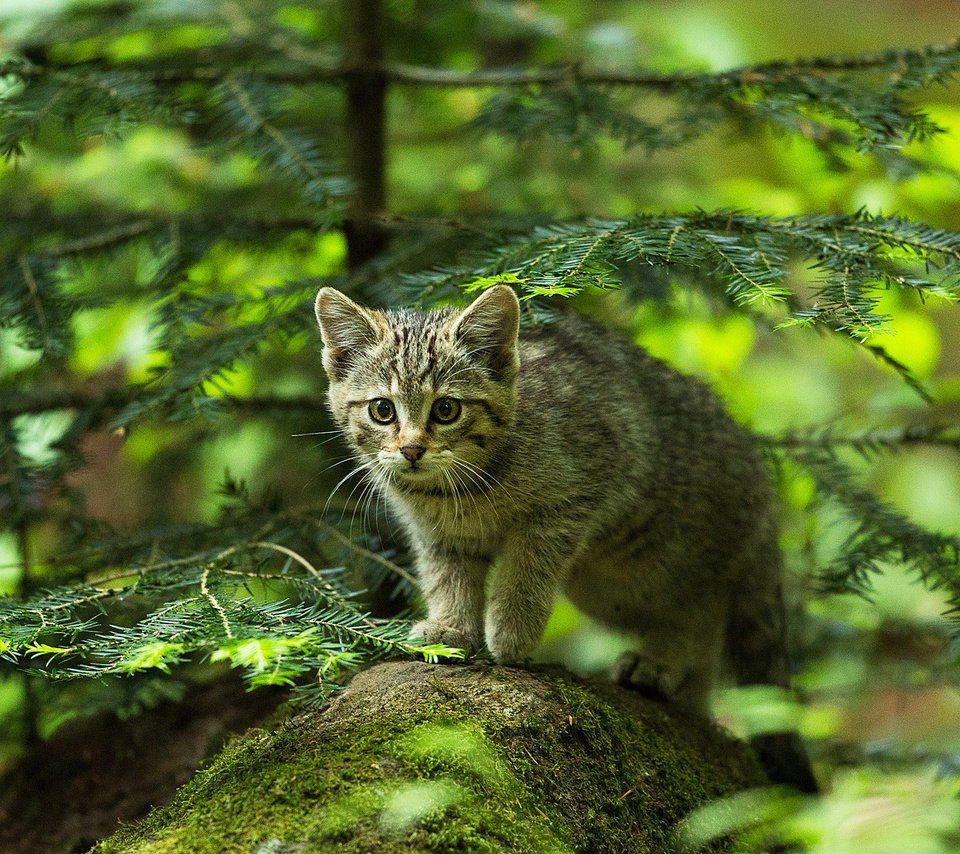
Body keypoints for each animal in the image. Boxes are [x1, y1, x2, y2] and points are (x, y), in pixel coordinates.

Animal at [316, 284, 816, 792]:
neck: (459, 490)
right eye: (382, 410)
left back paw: (661, 663)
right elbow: (446, 578)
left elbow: (527, 572)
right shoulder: (438, 536)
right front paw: (450, 627)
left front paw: (512, 630)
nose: (412, 449)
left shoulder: (570, 502)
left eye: (446, 408)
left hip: (663, 557)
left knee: (701, 610)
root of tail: (757, 473)